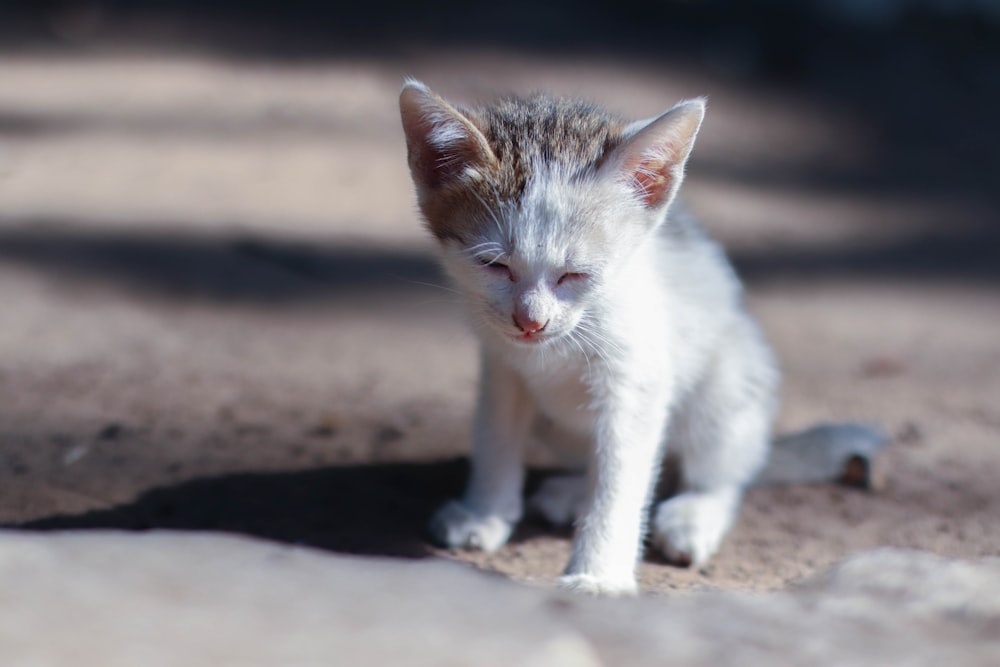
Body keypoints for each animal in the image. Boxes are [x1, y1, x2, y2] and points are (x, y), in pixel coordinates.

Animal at [398, 79, 884, 596]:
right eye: (493, 265)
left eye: (577, 274)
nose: (531, 322)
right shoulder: (501, 361)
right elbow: (496, 432)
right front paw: (484, 511)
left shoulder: (638, 373)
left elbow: (623, 472)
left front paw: (599, 573)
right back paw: (572, 491)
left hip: (731, 378)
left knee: (718, 472)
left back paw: (694, 513)